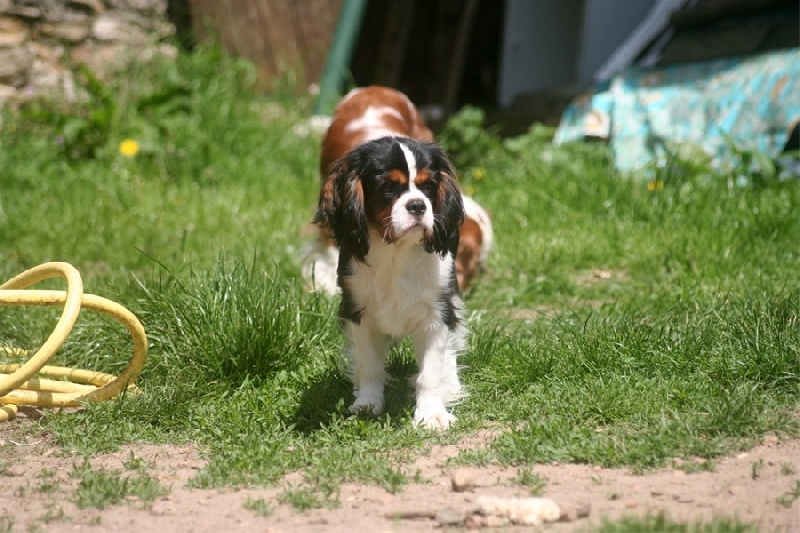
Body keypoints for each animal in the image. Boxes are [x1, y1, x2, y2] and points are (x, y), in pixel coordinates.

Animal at [310, 135, 466, 430]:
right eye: (388, 188)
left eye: (428, 186)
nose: (417, 205)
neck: (396, 251)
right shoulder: (358, 311)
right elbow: (370, 364)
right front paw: (368, 403)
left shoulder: (437, 311)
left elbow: (430, 370)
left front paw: (432, 413)